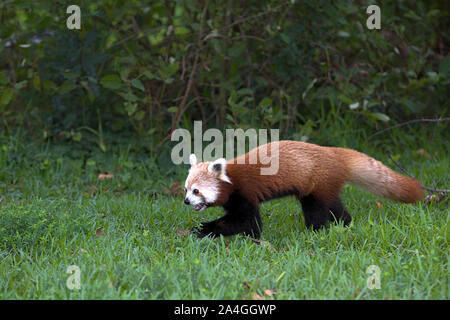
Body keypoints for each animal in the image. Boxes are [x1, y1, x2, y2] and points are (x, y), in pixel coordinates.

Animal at [183, 140, 422, 238]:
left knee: (325, 209)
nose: (186, 202)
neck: (230, 179)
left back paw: (327, 228)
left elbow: (246, 221)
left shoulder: (244, 193)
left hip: (321, 184)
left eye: (196, 191)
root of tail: (334, 153)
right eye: (185, 189)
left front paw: (204, 229)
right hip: (312, 189)